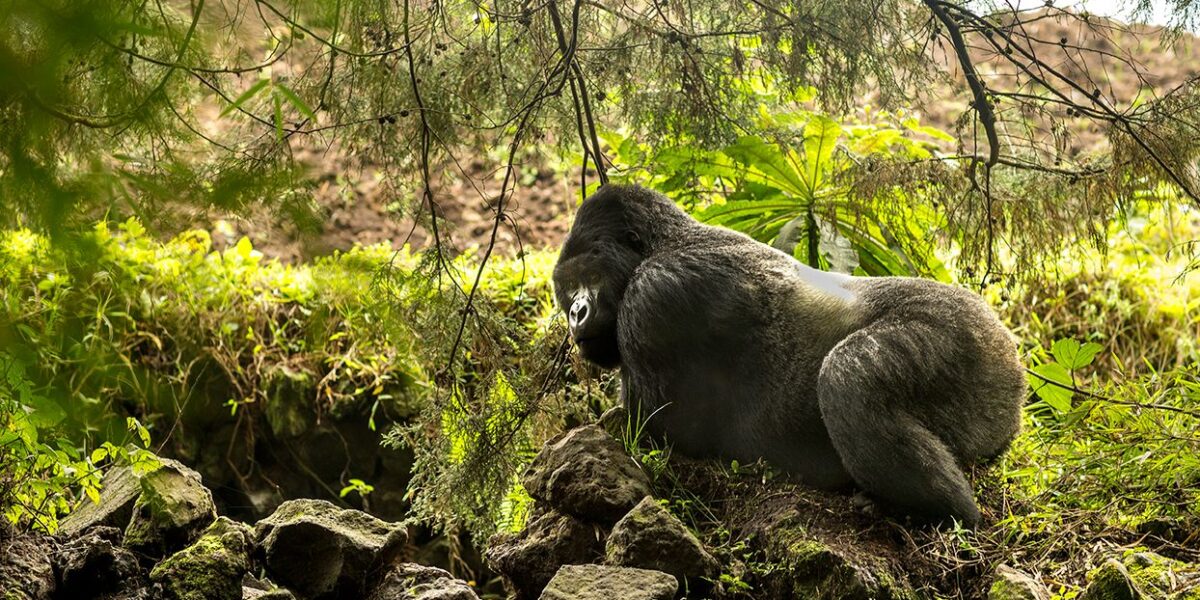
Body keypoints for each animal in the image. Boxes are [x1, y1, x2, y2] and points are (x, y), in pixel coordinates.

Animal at [551, 184, 1026, 526]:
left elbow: (656, 428)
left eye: (588, 275)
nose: (576, 312)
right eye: (567, 288)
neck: (664, 243)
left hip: (970, 338)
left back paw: (937, 510)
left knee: (847, 376)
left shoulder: (655, 295)